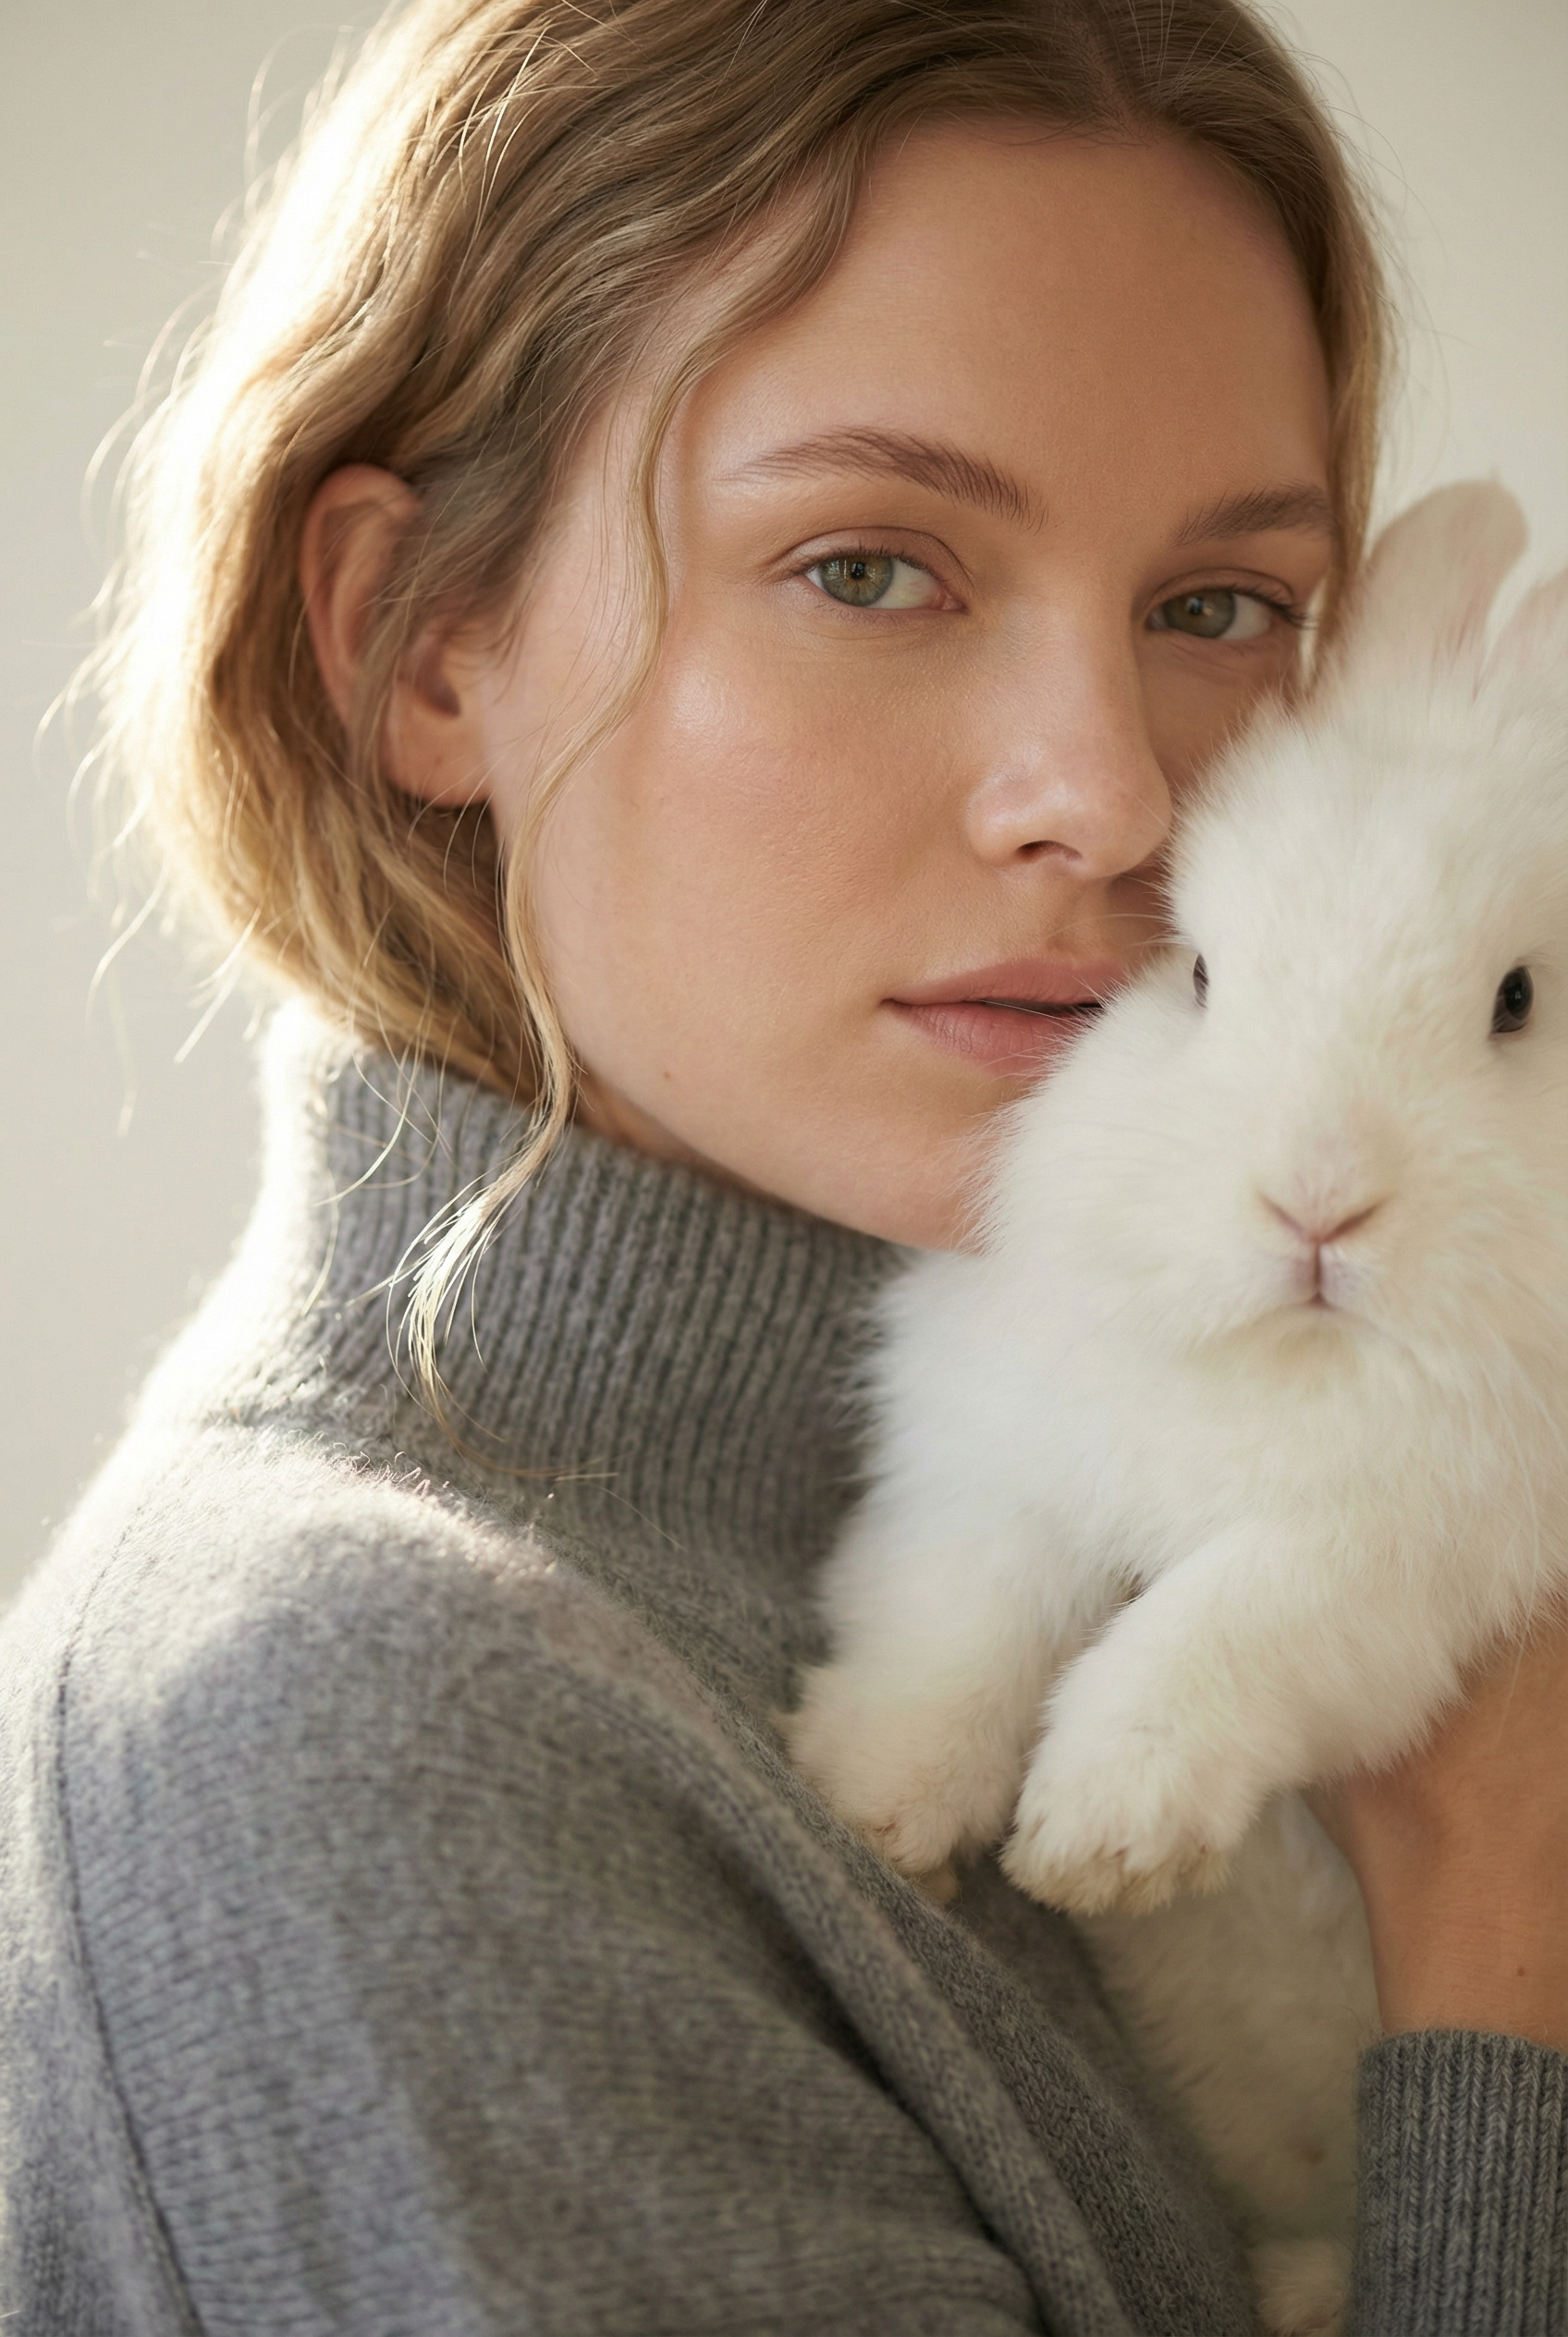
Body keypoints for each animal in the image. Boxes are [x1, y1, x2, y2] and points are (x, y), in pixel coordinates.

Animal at [786, 482, 1568, 2336]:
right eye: (1197, 974)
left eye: (1516, 1001)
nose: (1316, 1202)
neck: (1289, 1353)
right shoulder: (1004, 1474)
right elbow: (956, 1628)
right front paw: (875, 1805)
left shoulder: (1388, 1563)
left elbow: (1212, 1638)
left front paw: (1100, 1832)